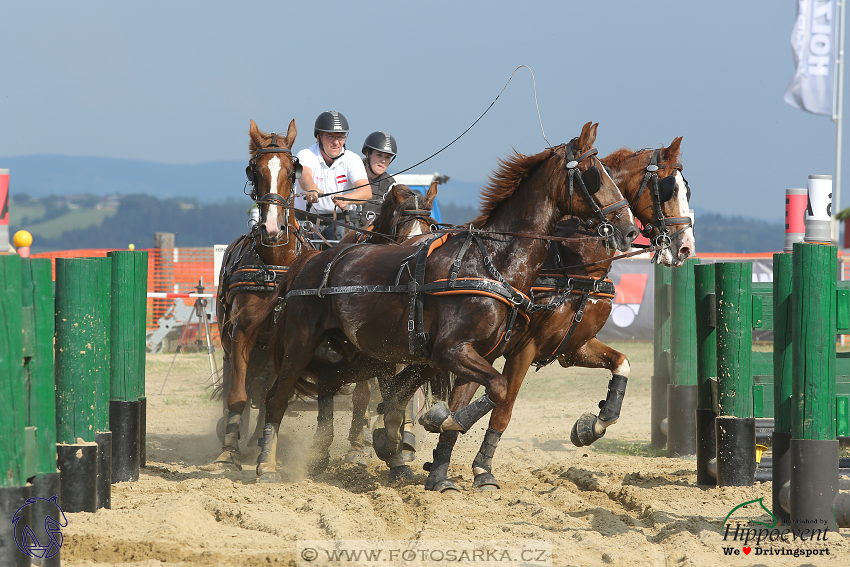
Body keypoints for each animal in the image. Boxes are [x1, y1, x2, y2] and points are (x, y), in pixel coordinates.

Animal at [211, 118, 304, 470]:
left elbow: (269, 397)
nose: (272, 229)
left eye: (292, 171)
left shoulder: (284, 344)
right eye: (255, 171)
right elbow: (238, 395)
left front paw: (262, 445)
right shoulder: (241, 333)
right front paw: (228, 451)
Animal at [245, 122, 636, 482]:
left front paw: (438, 472)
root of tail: (308, 260)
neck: (492, 263)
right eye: (593, 174)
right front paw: (435, 424)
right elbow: (497, 390)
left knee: (328, 383)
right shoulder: (453, 351)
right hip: (301, 342)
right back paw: (266, 464)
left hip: (362, 354)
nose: (628, 228)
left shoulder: (479, 353)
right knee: (275, 396)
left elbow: (474, 397)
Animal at [420, 138, 696, 492]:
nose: (686, 247)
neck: (572, 263)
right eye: (666, 188)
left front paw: (591, 427)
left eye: (687, 189)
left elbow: (622, 364)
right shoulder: (525, 347)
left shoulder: (572, 345)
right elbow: (504, 407)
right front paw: (482, 468)